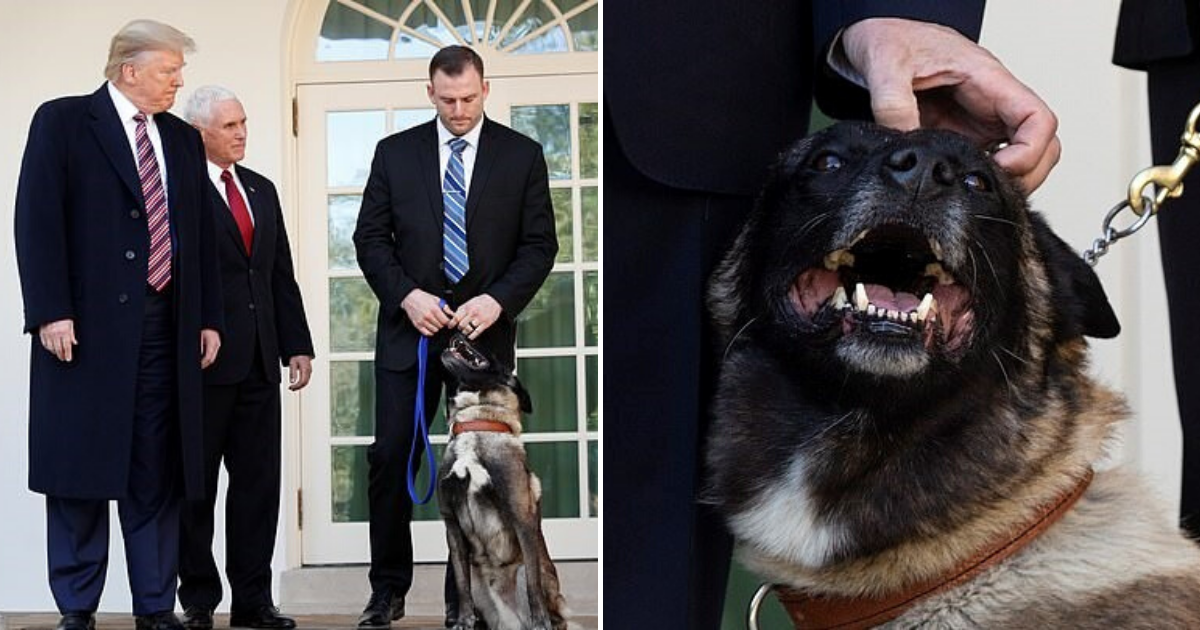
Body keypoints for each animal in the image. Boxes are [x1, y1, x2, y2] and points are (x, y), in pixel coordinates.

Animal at [439, 336, 568, 628]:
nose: (459, 329)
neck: (477, 422)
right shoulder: (451, 524)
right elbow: (461, 584)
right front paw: (463, 621)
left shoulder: (521, 517)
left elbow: (533, 583)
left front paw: (540, 622)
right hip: (479, 585)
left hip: (528, 578)